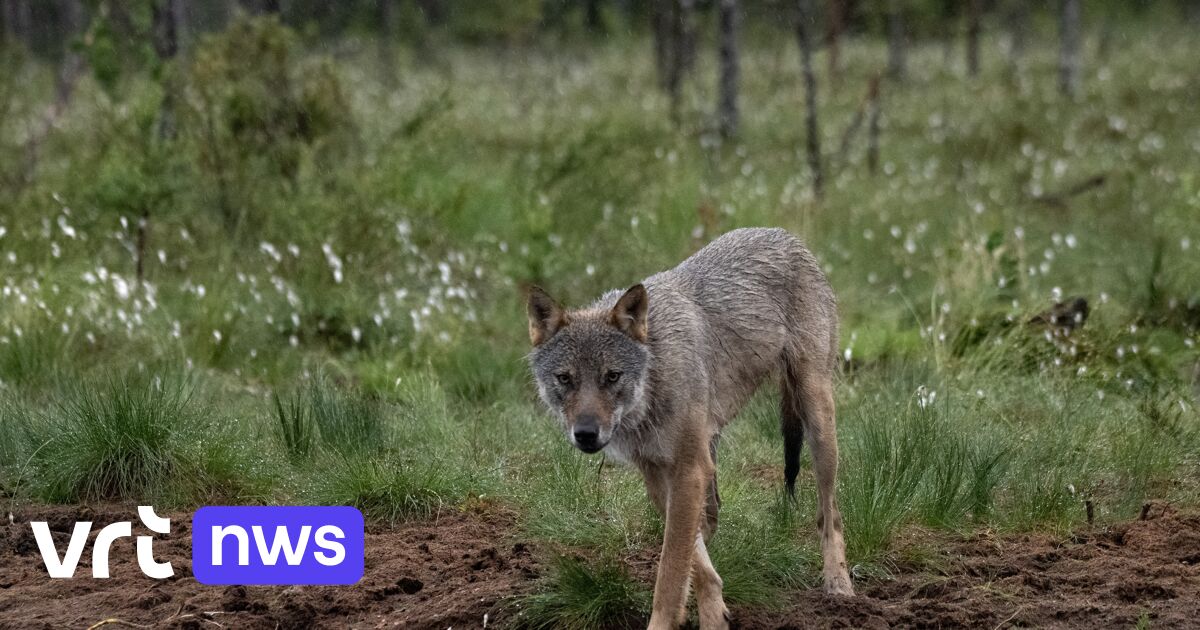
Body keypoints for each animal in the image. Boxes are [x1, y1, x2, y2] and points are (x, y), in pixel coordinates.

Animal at [525, 228, 854, 624]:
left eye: (612, 376)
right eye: (565, 378)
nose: (586, 434)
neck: (654, 382)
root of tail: (786, 235)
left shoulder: (687, 469)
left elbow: (670, 572)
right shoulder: (658, 472)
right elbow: (691, 561)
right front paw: (714, 612)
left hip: (816, 418)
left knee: (829, 514)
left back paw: (840, 586)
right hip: (712, 447)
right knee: (713, 516)